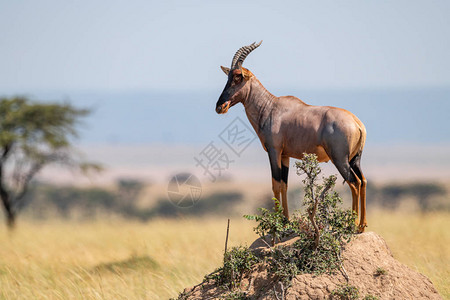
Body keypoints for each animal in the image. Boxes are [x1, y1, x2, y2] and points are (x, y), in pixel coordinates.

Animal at [216, 41, 368, 232]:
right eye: (228, 76)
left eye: (238, 77)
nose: (220, 106)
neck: (271, 106)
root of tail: (357, 123)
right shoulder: (285, 155)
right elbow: (284, 184)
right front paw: (286, 220)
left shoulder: (273, 151)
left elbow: (275, 184)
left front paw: (277, 222)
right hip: (355, 159)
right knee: (363, 181)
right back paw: (362, 225)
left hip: (340, 158)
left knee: (354, 182)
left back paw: (351, 225)